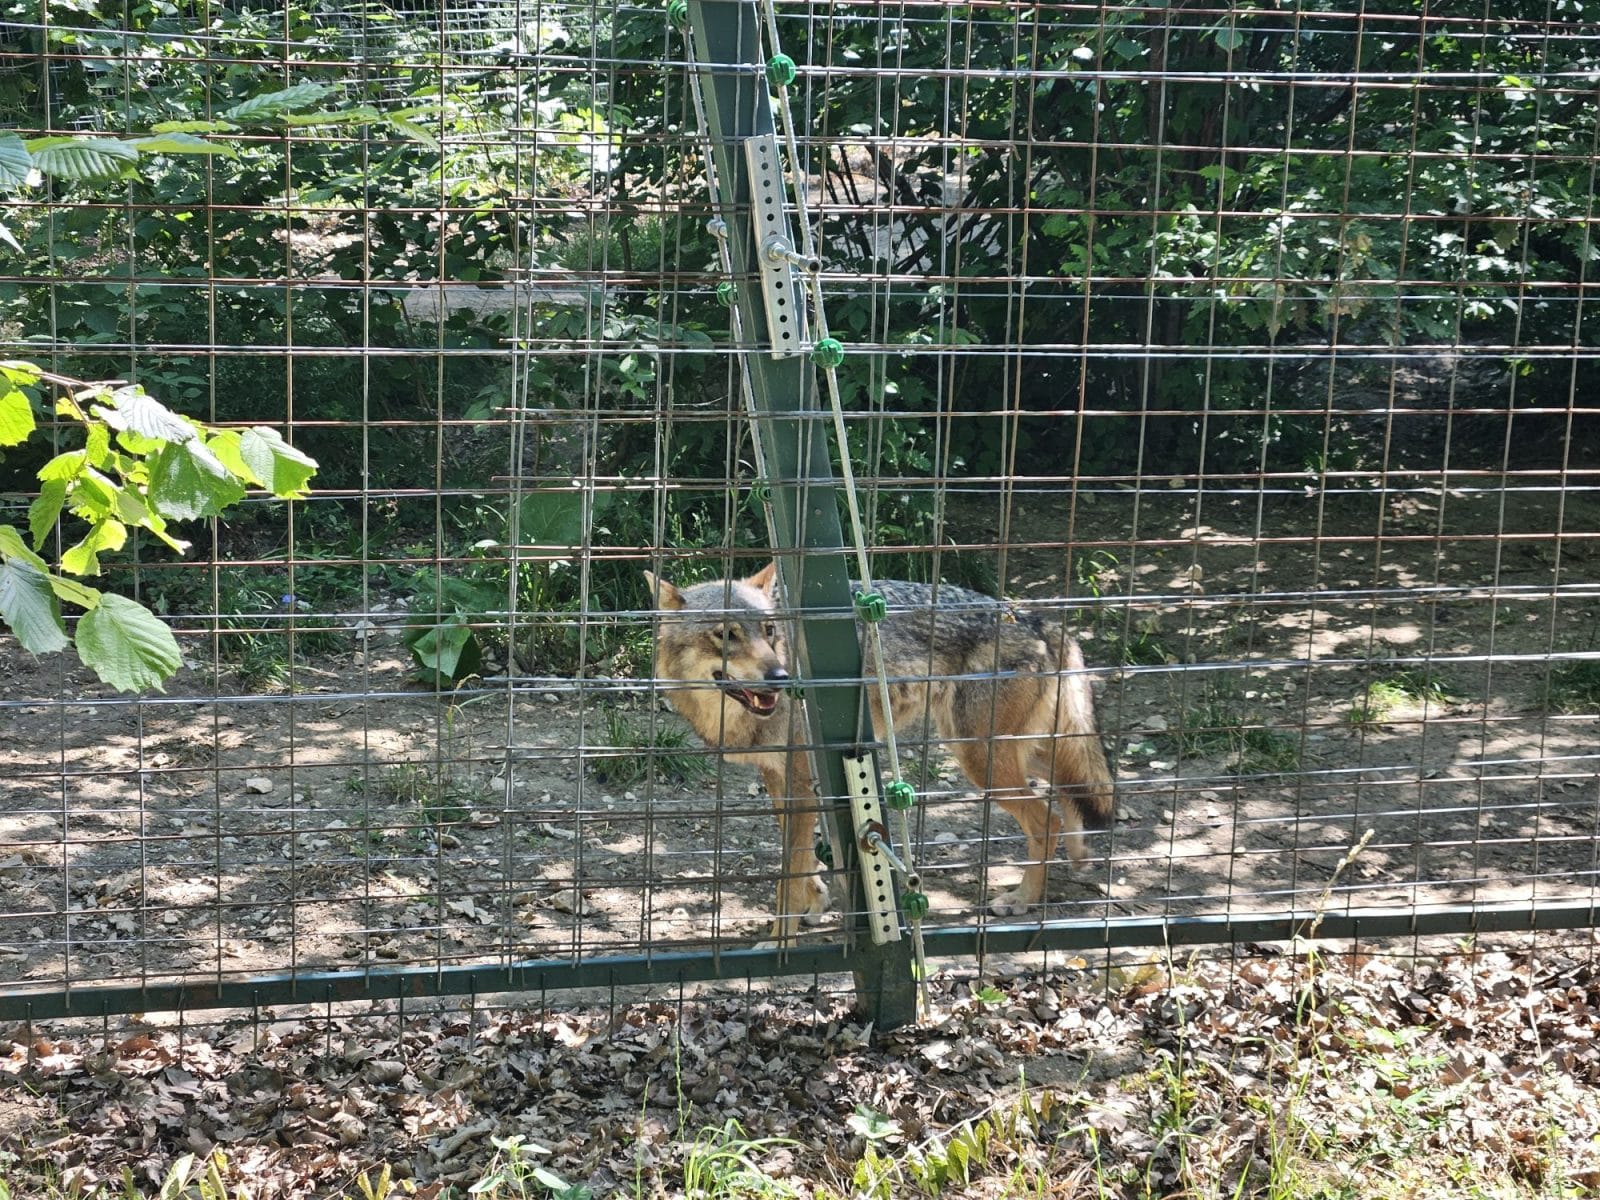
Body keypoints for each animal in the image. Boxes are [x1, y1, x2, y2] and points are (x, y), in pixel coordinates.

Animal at [643, 562, 1116, 942]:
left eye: (770, 631)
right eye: (725, 635)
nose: (779, 677)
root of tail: (1041, 620)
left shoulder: (800, 781)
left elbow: (788, 869)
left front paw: (780, 941)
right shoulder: (780, 779)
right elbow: (801, 857)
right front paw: (816, 902)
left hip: (979, 760)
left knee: (1047, 818)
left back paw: (1023, 898)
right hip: (1005, 752)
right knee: (1072, 795)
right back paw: (1078, 860)